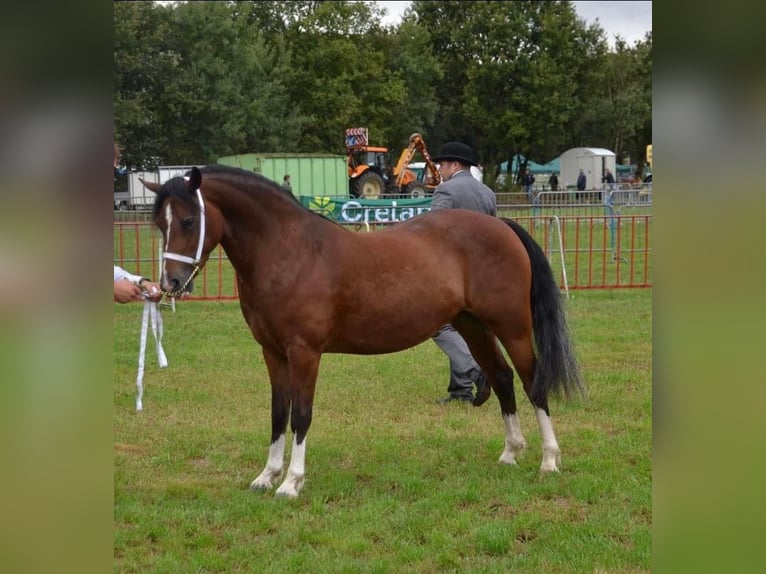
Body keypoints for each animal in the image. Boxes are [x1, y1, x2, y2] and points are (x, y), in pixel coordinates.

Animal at [144, 166, 584, 500]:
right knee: (503, 378)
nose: (170, 282)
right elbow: (278, 413)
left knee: (532, 382)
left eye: (188, 220)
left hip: (513, 328)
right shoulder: (272, 352)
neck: (288, 251)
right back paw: (510, 453)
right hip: (472, 326)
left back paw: (549, 459)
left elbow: (301, 415)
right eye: (158, 224)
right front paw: (266, 476)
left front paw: (291, 483)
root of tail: (501, 226)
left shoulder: (304, 352)